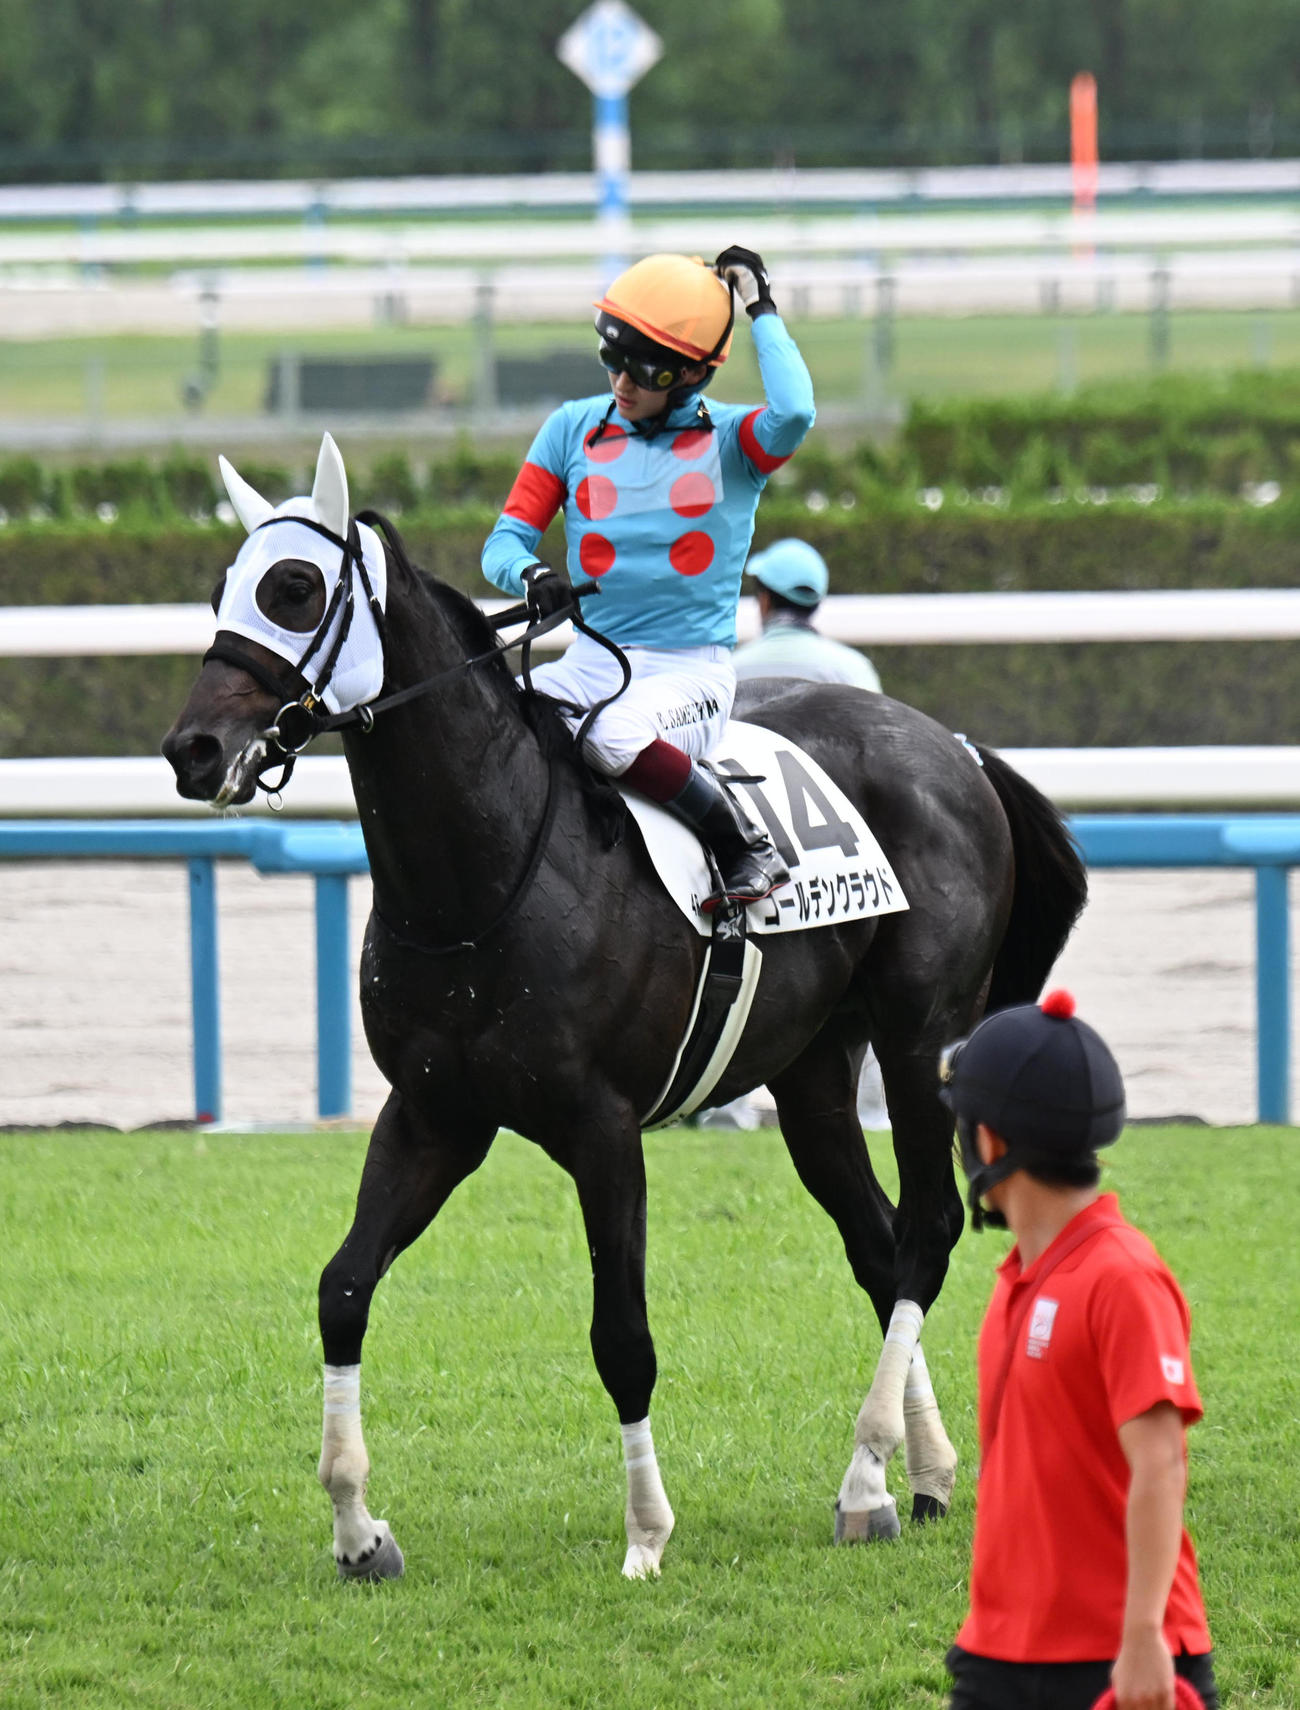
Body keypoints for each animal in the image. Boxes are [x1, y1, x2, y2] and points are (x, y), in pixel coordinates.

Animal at [163, 434, 1087, 1582]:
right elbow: (342, 1288)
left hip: (922, 1038)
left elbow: (622, 1336)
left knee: (923, 1233)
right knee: (876, 1246)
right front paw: (356, 1526)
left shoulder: (603, 1129)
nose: (192, 750)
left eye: (293, 589)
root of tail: (954, 747)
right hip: (812, 1071)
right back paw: (915, 1479)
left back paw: (863, 1474)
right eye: (221, 590)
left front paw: (647, 1534)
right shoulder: (433, 1116)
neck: (486, 873)